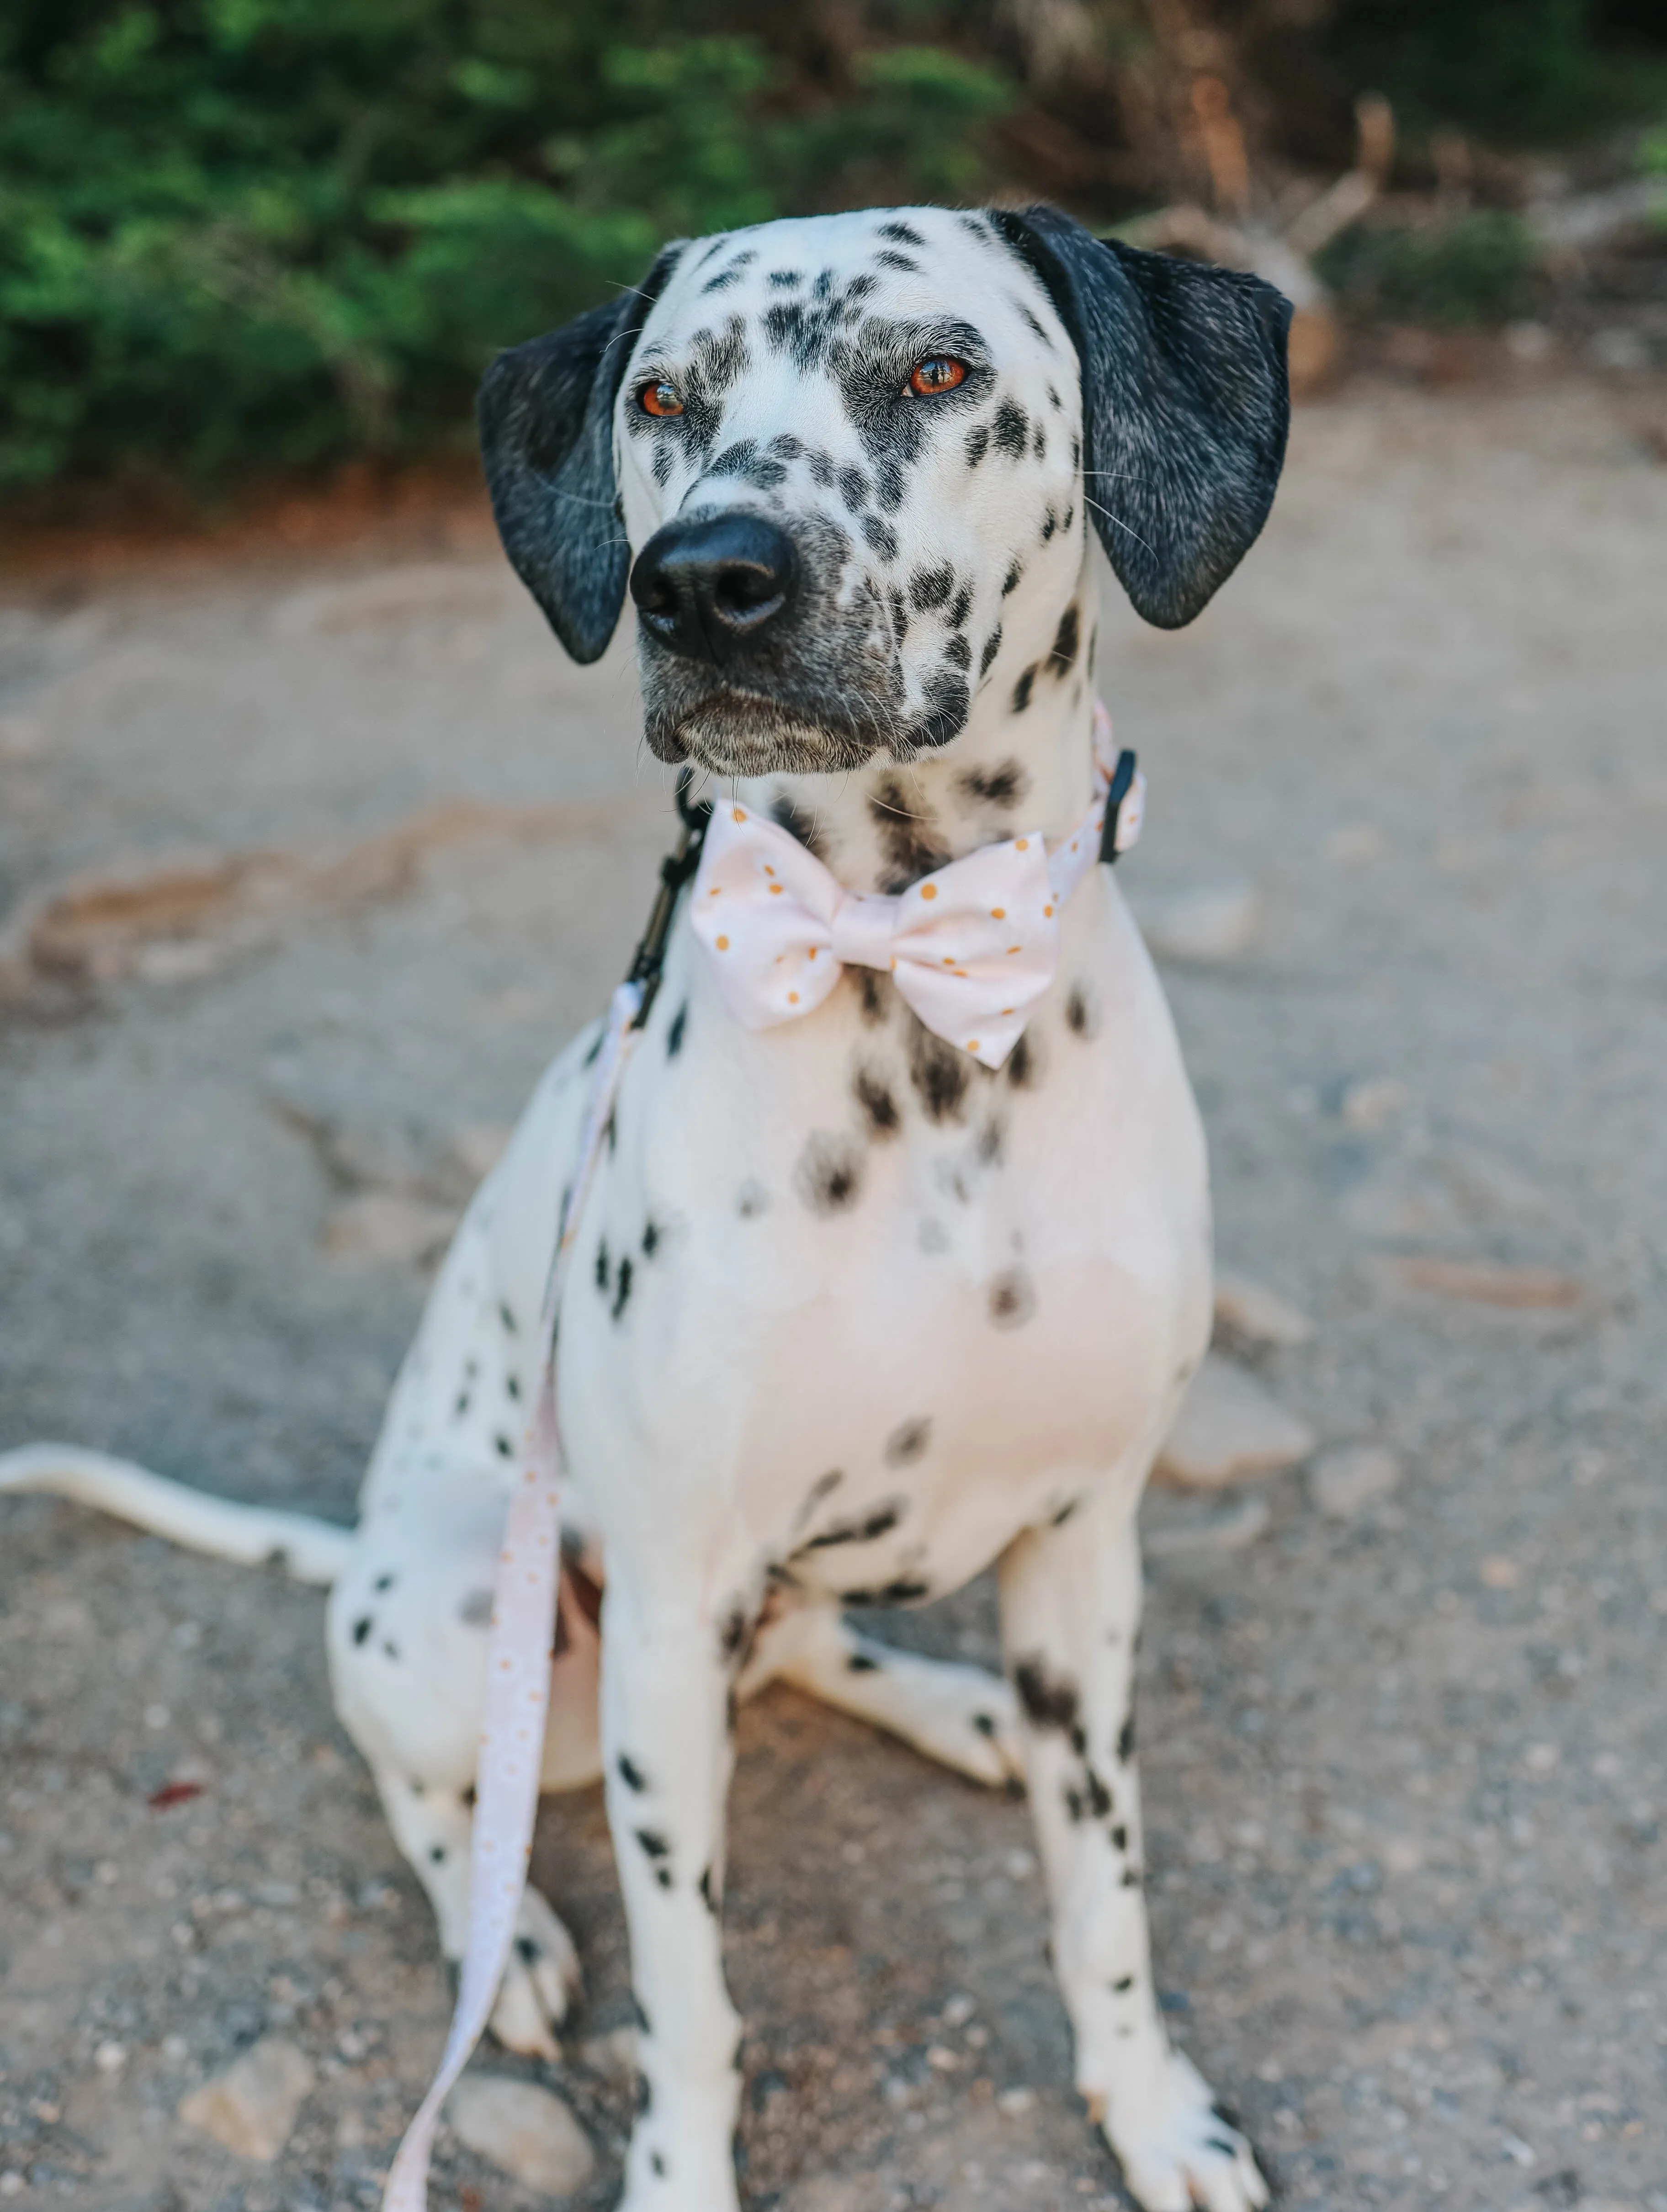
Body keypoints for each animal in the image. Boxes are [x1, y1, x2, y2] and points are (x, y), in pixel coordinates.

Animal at [3, 208, 1282, 2212]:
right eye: (665, 400)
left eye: (937, 372)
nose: (709, 581)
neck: (899, 980)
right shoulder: (672, 1625)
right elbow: (691, 1997)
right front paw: (678, 2168)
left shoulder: (1086, 1556)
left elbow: (1107, 1906)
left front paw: (1154, 2112)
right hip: (462, 1608)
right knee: (434, 1794)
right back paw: (508, 1934)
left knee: (828, 1648)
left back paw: (961, 1717)